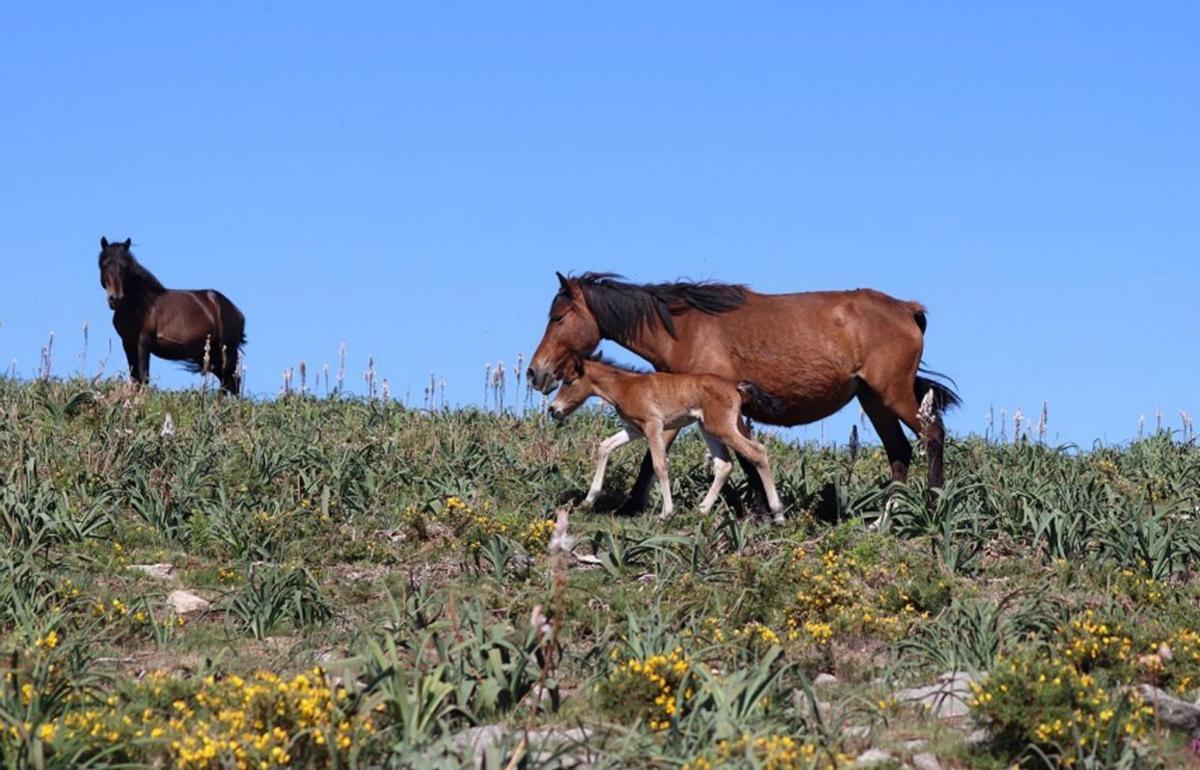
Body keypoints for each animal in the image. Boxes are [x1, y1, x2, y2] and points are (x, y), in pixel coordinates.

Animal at [99, 237, 247, 393]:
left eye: (125, 267)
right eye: (104, 264)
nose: (116, 299)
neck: (139, 304)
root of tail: (237, 312)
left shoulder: (143, 342)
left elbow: (144, 376)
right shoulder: (127, 343)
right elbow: (135, 378)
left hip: (226, 351)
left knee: (231, 381)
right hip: (213, 355)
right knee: (227, 381)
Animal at [547, 355, 787, 522]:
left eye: (568, 381)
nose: (552, 410)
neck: (626, 386)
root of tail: (735, 386)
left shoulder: (653, 425)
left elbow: (660, 464)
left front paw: (666, 513)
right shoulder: (634, 428)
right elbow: (605, 446)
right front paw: (588, 501)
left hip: (720, 428)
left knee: (757, 451)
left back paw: (778, 514)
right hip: (708, 428)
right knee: (724, 465)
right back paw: (701, 510)